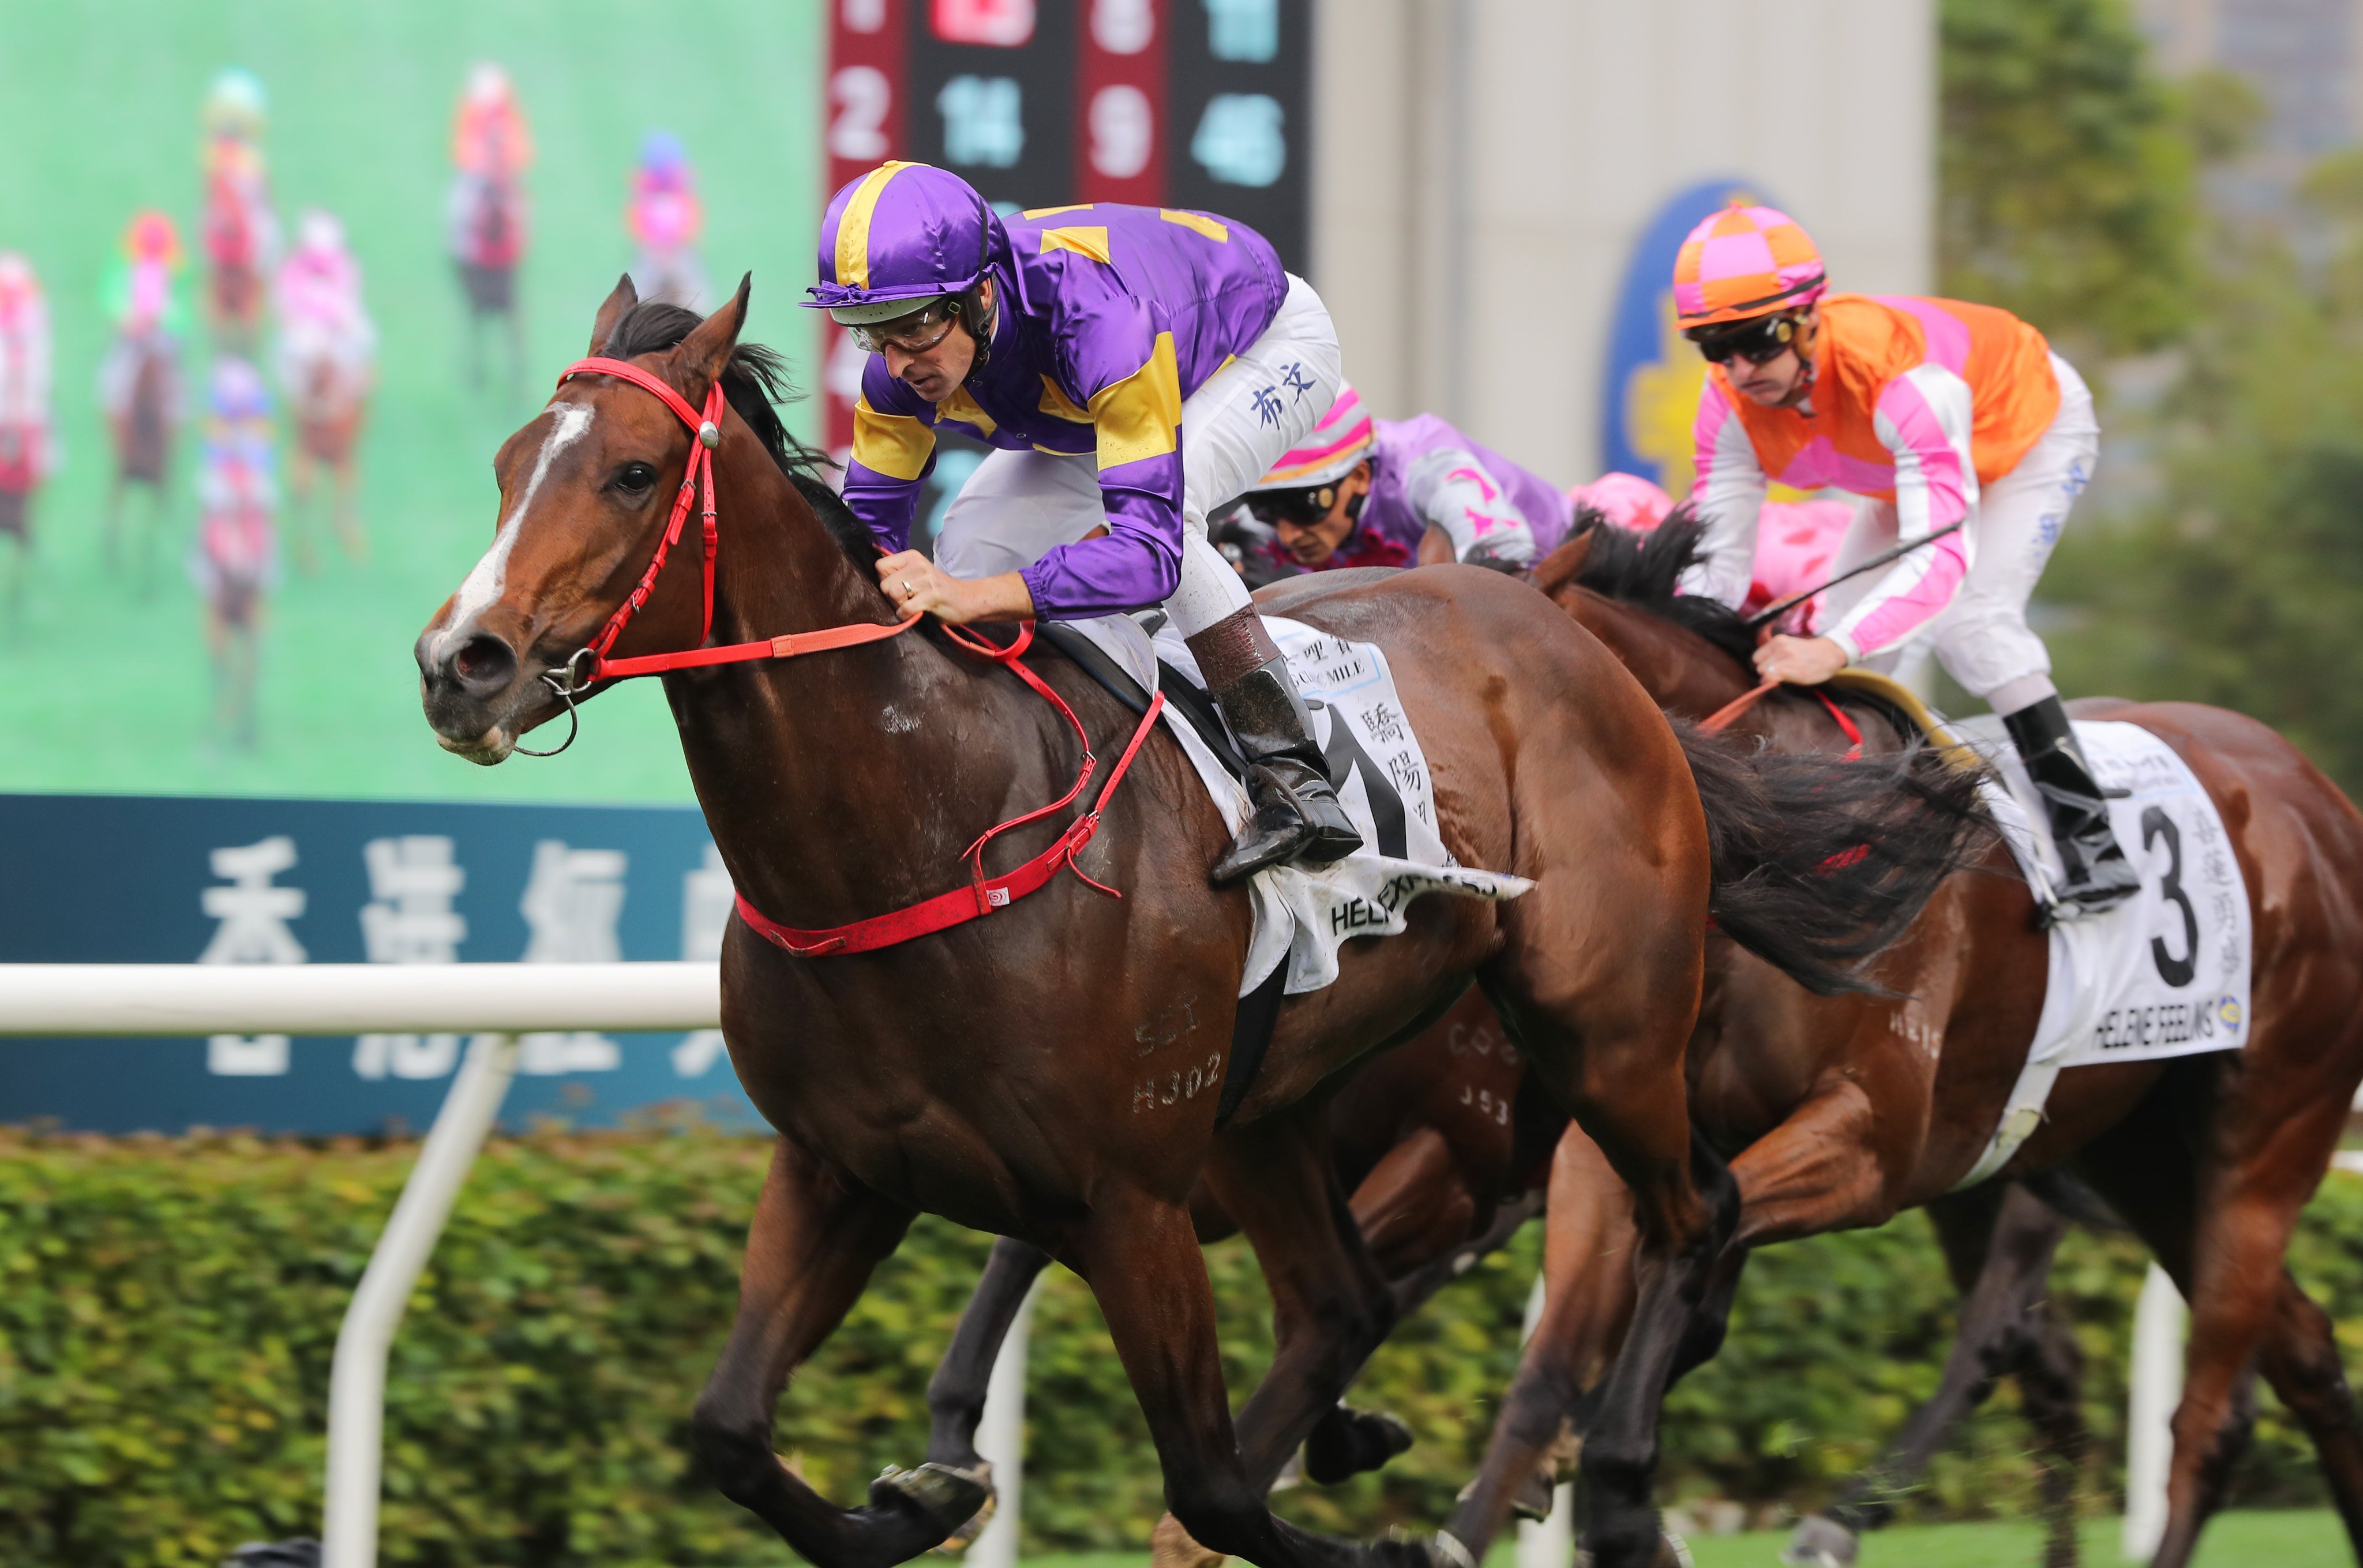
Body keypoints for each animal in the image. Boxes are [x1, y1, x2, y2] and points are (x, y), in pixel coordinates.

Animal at [415, 284, 1985, 1567]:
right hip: (1272, 1103)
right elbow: (730, 1432)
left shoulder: (1127, 1198)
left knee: (1696, 1213)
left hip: (1597, 1034)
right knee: (1350, 1297)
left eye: (630, 473)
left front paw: (1387, 1541)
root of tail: (1583, 647)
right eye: (500, 465)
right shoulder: (844, 1166)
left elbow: (1215, 1486)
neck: (918, 825)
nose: (459, 663)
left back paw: (1621, 1473)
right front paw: (915, 1499)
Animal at [1436, 517, 2363, 1567]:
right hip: (2142, 1150)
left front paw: (1622, 1488)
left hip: (2267, 1133)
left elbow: (1705, 1244)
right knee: (2300, 1354)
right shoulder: (1616, 1145)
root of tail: (2319, 794)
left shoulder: (1872, 1139)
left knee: (2194, 1403)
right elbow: (1554, 1362)